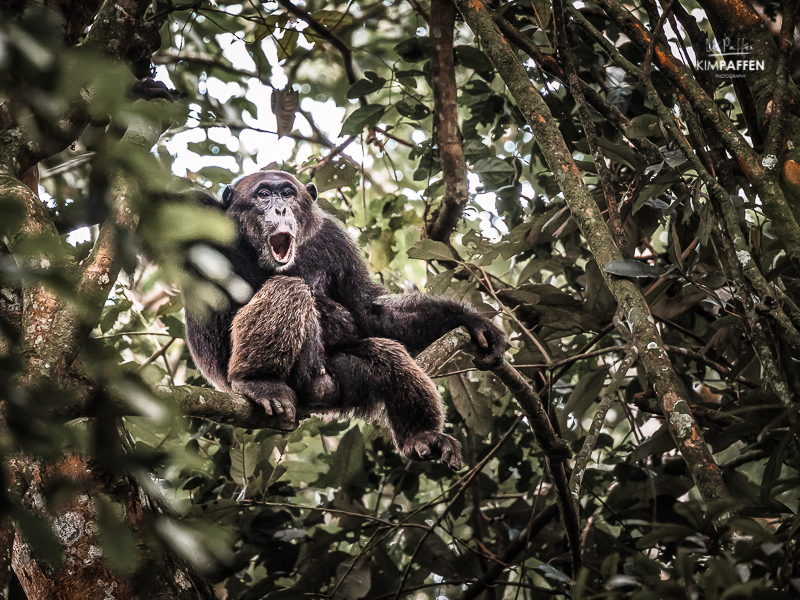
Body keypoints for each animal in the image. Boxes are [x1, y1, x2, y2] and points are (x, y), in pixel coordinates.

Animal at [184, 169, 504, 468]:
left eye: (287, 194)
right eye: (263, 195)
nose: (281, 209)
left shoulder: (335, 239)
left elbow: (367, 308)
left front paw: (470, 320)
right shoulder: (201, 211)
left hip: (345, 379)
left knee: (387, 353)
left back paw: (422, 435)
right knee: (289, 288)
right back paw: (260, 381)